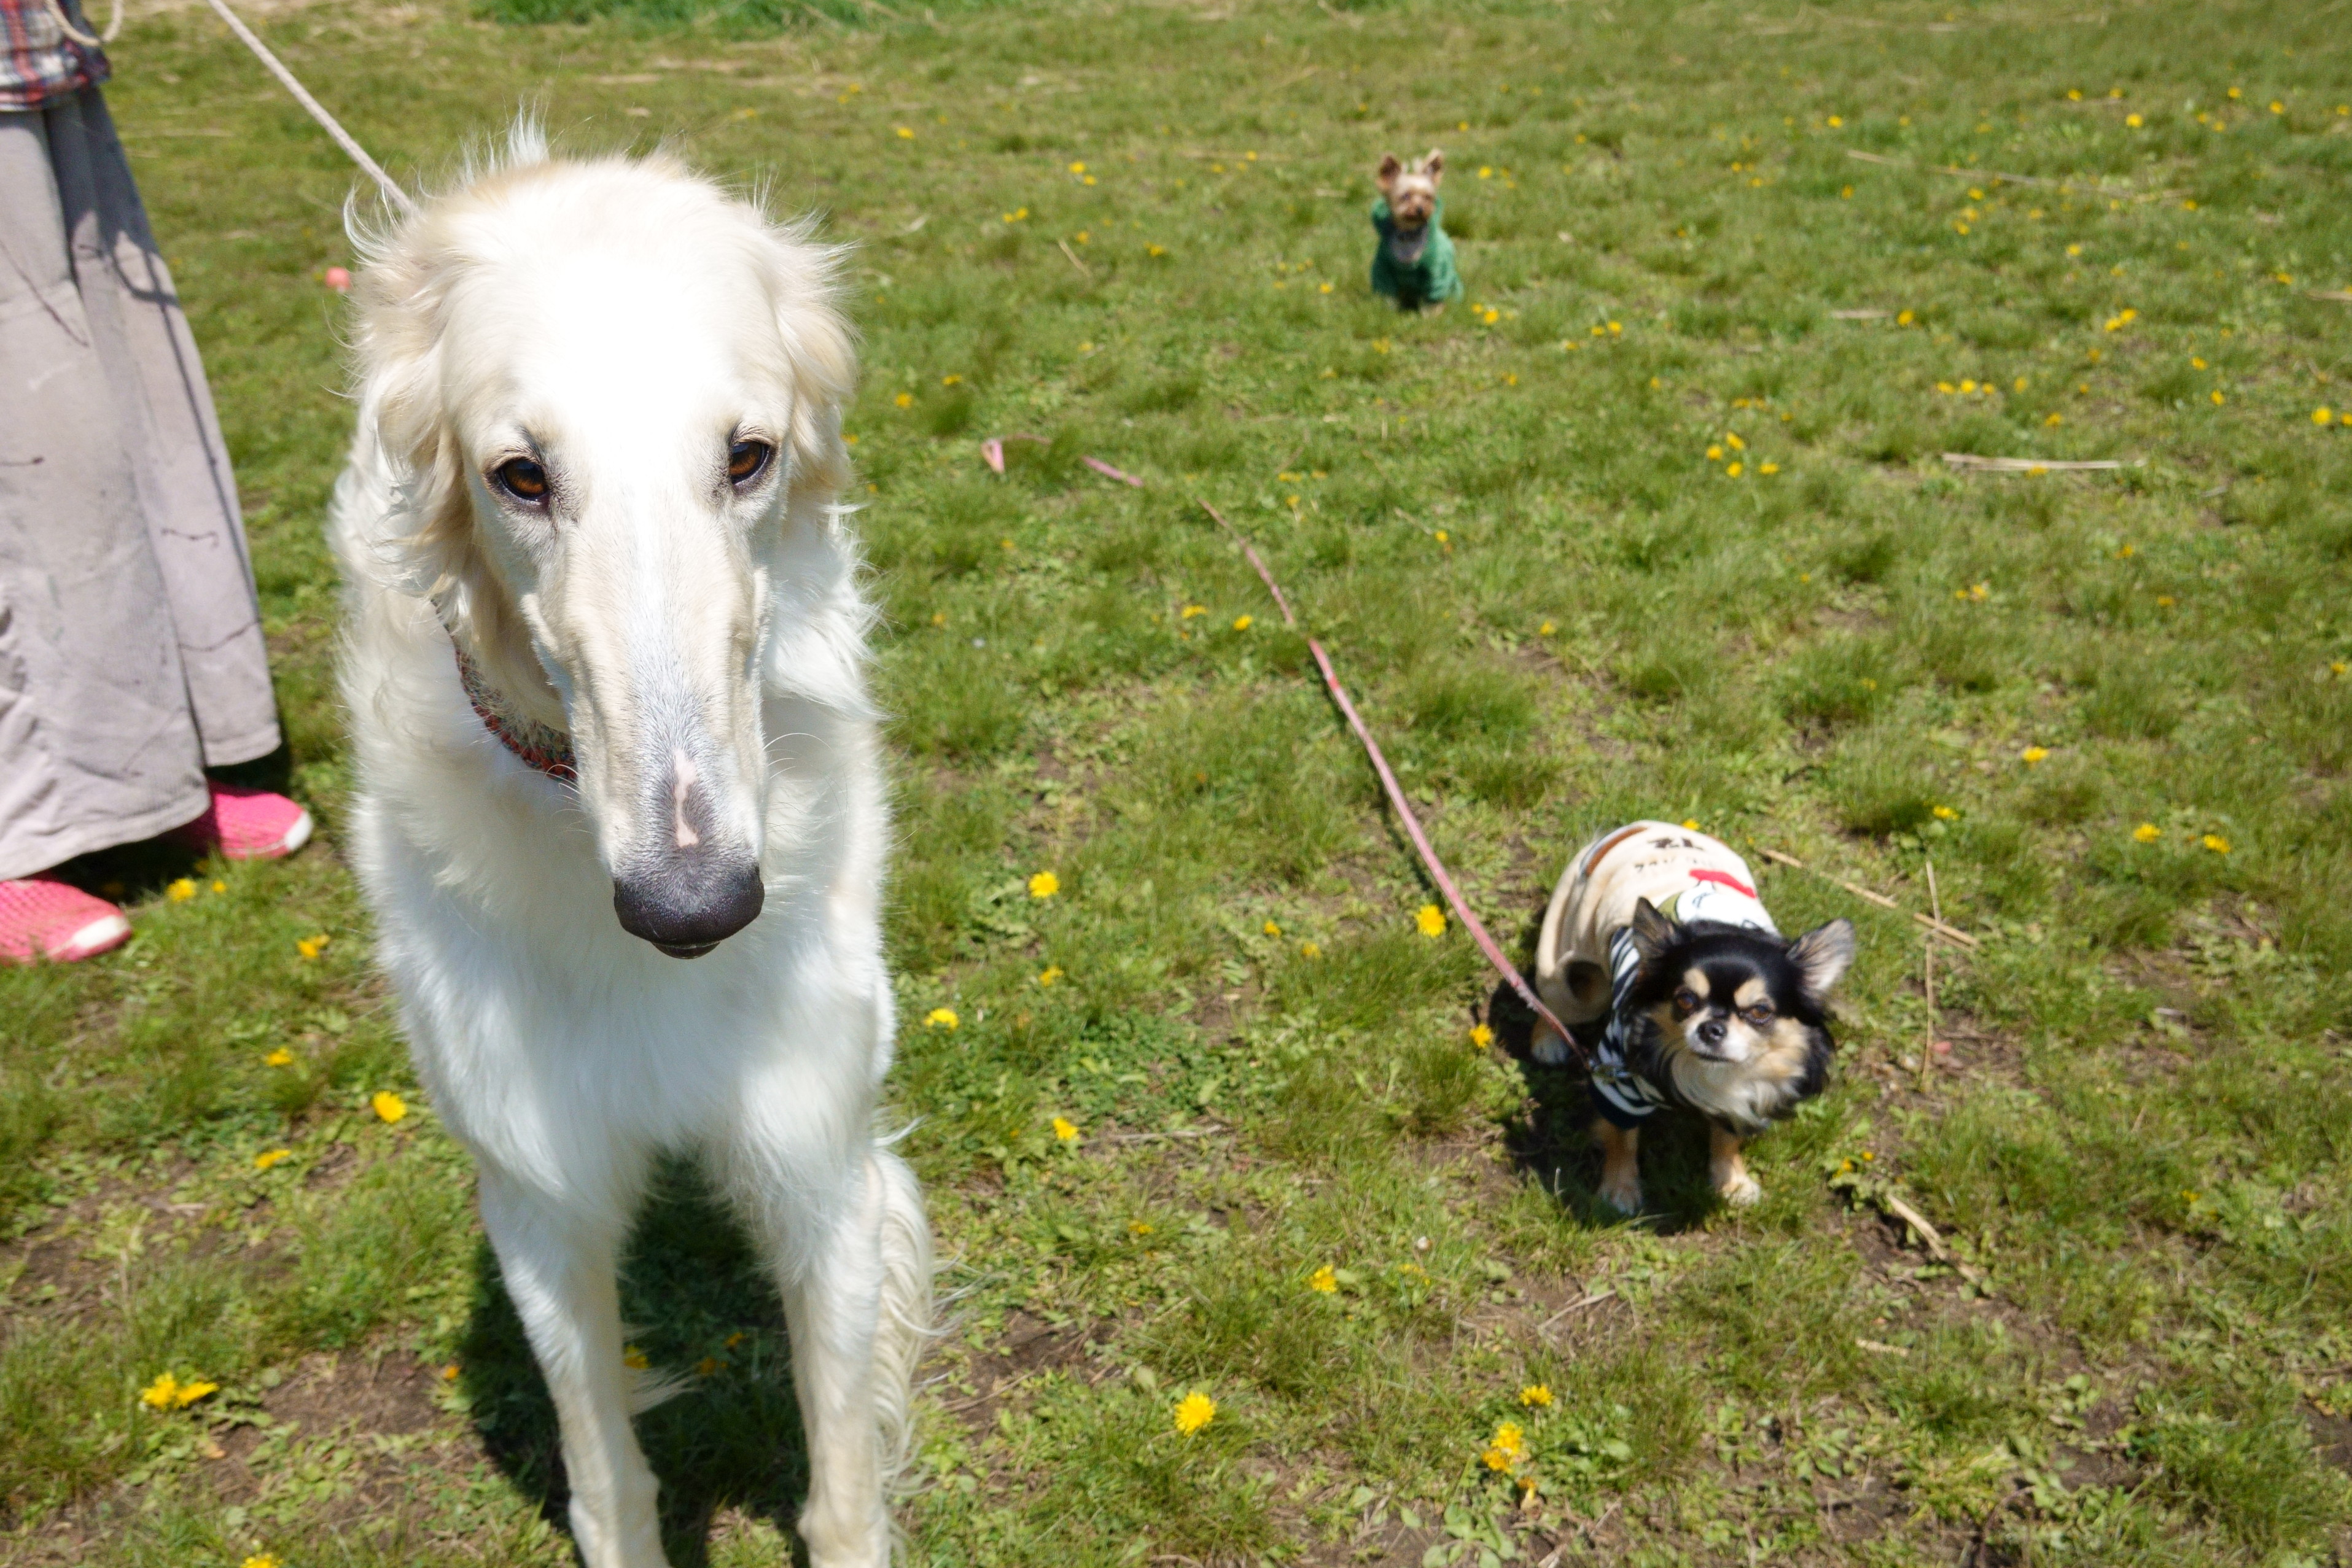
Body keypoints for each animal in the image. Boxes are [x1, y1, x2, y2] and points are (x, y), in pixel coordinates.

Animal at [329, 125, 927, 1568]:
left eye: (748, 456)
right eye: (521, 474)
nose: (693, 903)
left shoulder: (821, 1159)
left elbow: (841, 1487)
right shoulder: (538, 1188)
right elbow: (607, 1474)